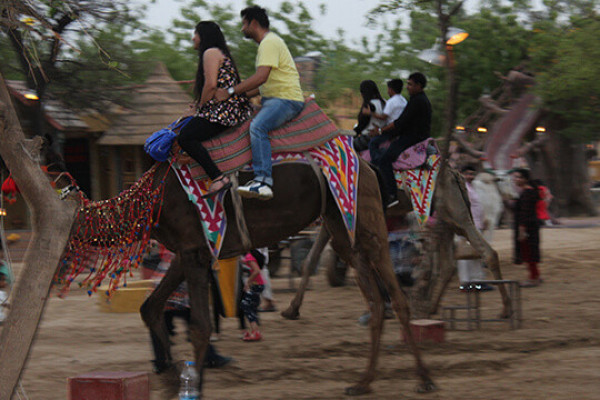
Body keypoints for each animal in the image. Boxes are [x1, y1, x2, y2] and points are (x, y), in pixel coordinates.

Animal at [50, 152, 436, 396]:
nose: (55, 269)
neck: (150, 201)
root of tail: (368, 166)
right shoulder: (190, 251)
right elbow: (150, 307)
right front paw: (173, 380)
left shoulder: (193, 251)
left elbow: (199, 326)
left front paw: (194, 386)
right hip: (342, 228)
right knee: (379, 301)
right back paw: (365, 383)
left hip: (366, 221)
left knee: (393, 297)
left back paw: (422, 379)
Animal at [282, 161, 510, 320]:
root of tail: (456, 174)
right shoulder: (333, 218)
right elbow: (311, 260)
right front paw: (291, 309)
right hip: (446, 218)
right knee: (451, 264)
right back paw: (431, 308)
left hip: (455, 214)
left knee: (485, 252)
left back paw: (504, 310)